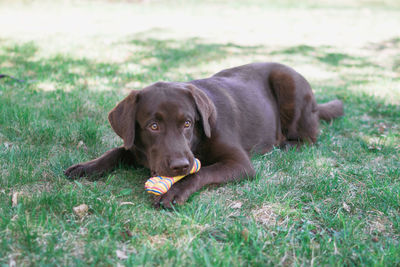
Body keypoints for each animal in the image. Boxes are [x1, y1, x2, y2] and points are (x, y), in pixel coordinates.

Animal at [65, 63, 344, 209]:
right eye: (153, 126)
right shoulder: (135, 145)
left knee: (310, 137)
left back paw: (284, 145)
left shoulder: (239, 163)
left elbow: (202, 172)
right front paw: (86, 167)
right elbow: (116, 151)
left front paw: (176, 190)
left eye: (187, 123)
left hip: (291, 87)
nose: (179, 165)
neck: (196, 141)